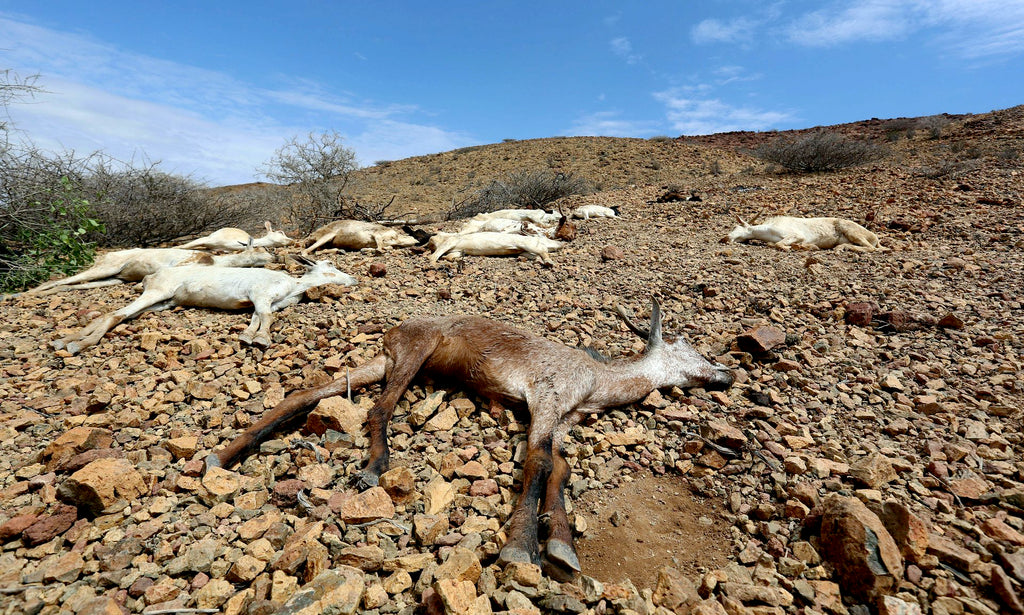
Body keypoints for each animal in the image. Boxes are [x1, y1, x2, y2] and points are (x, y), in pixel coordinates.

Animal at [57, 256, 360, 352]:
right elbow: (265, 318)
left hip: (164, 303)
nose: (354, 279)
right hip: (157, 293)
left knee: (120, 315)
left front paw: (247, 336)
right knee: (116, 314)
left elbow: (257, 317)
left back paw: (65, 340)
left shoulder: (265, 303)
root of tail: (150, 277)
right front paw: (261, 340)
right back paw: (76, 344)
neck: (293, 285)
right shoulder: (261, 295)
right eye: (330, 265)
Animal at [207, 298, 733, 577]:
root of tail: (393, 332)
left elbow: (560, 470)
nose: (726, 374)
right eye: (692, 349)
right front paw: (522, 547)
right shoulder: (546, 398)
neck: (597, 383)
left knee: (310, 392)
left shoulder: (563, 419)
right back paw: (374, 467)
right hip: (415, 352)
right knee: (380, 407)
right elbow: (539, 463)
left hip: (385, 361)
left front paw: (562, 545)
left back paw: (222, 456)